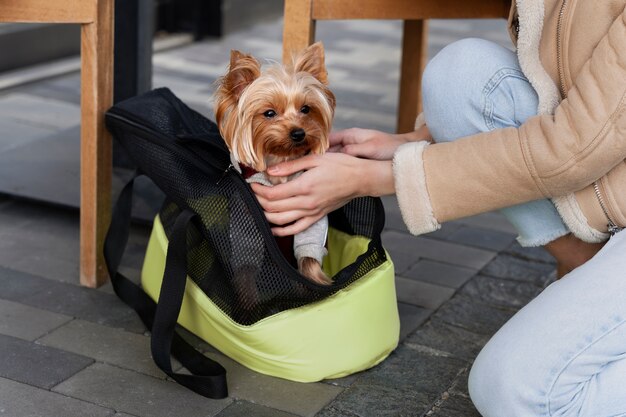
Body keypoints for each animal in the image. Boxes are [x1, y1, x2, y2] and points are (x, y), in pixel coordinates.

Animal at [212, 42, 334, 284]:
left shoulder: (310, 219)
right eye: (269, 113)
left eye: (306, 109)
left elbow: (309, 253)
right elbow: (247, 259)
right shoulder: (247, 217)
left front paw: (317, 283)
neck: (281, 159)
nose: (298, 133)